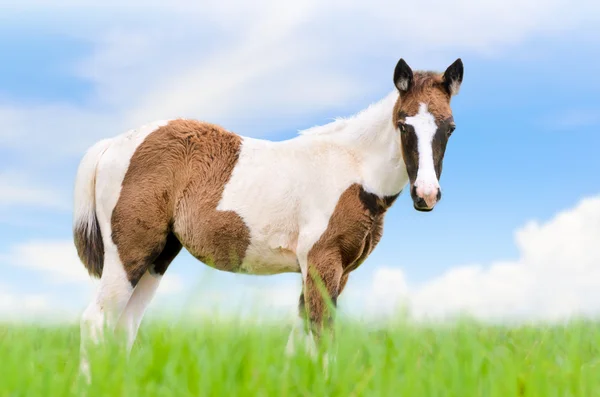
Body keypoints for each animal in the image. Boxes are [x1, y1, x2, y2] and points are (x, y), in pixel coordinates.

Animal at [74, 56, 464, 378]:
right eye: (403, 125)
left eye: (450, 128)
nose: (426, 195)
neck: (353, 169)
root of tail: (112, 144)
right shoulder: (322, 262)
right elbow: (321, 336)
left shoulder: (337, 272)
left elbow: (299, 341)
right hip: (129, 252)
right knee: (95, 321)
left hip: (159, 256)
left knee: (123, 326)